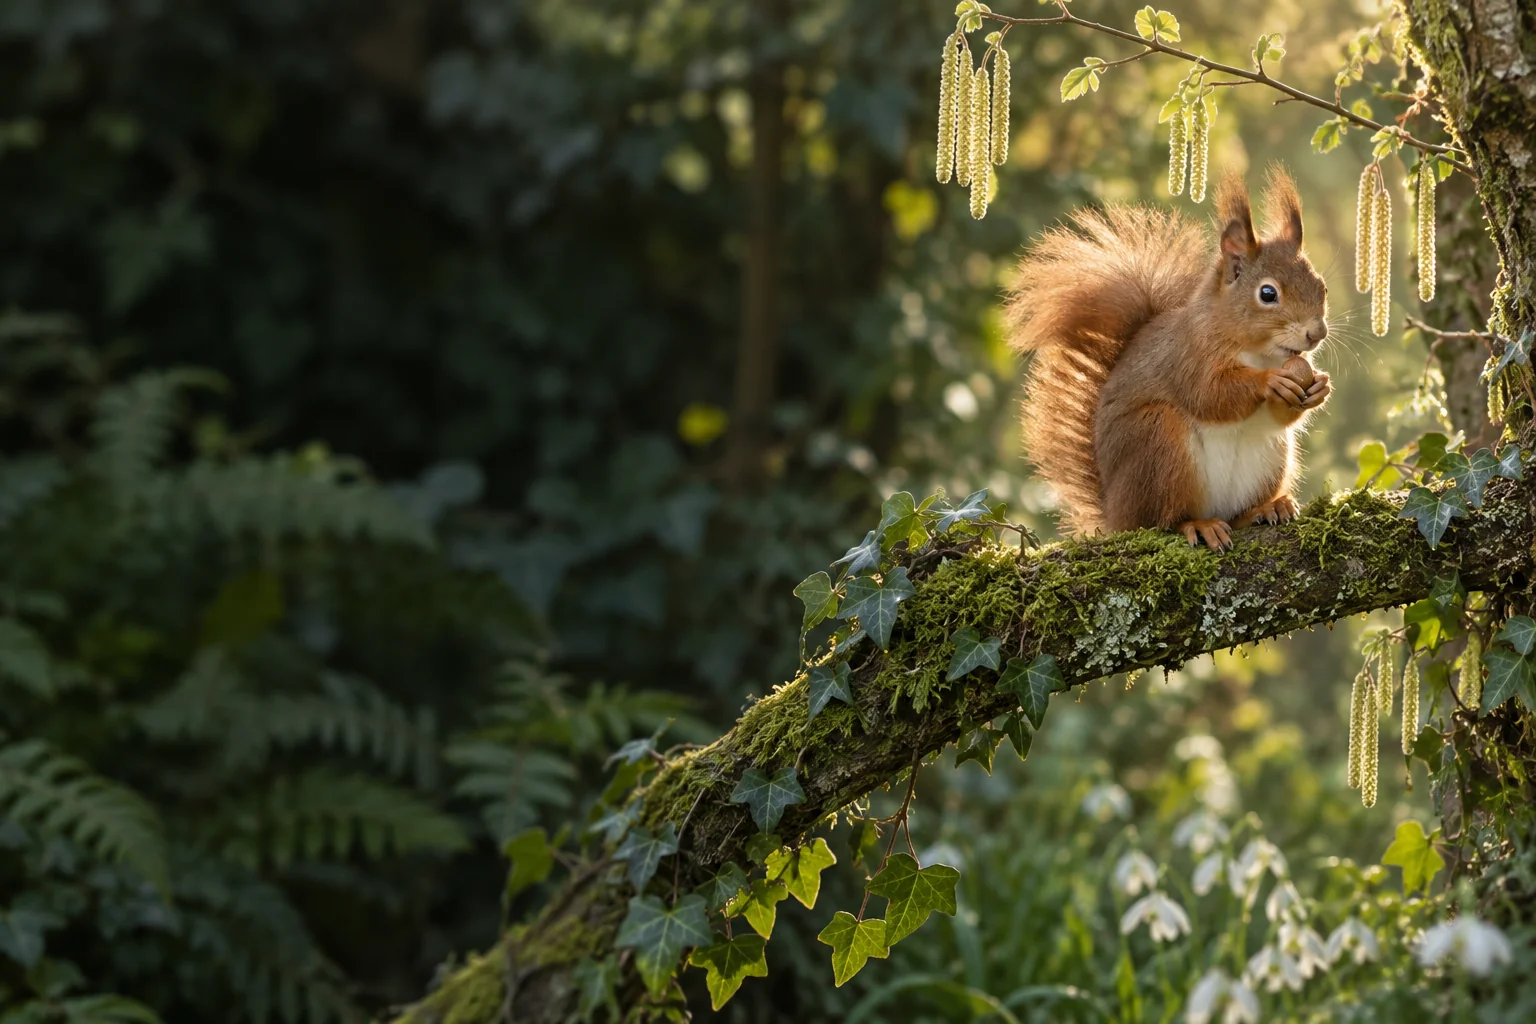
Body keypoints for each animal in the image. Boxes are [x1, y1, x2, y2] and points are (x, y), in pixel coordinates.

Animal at [1005, 168, 1331, 550]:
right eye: (1268, 293)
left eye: (1322, 286)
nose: (1317, 334)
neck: (1260, 353)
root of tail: (1115, 514)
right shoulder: (1187, 357)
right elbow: (1210, 395)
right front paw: (1271, 382)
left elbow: (1280, 417)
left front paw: (1319, 387)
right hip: (1158, 444)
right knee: (1163, 520)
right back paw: (1199, 525)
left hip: (1272, 457)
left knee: (1236, 513)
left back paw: (1265, 508)